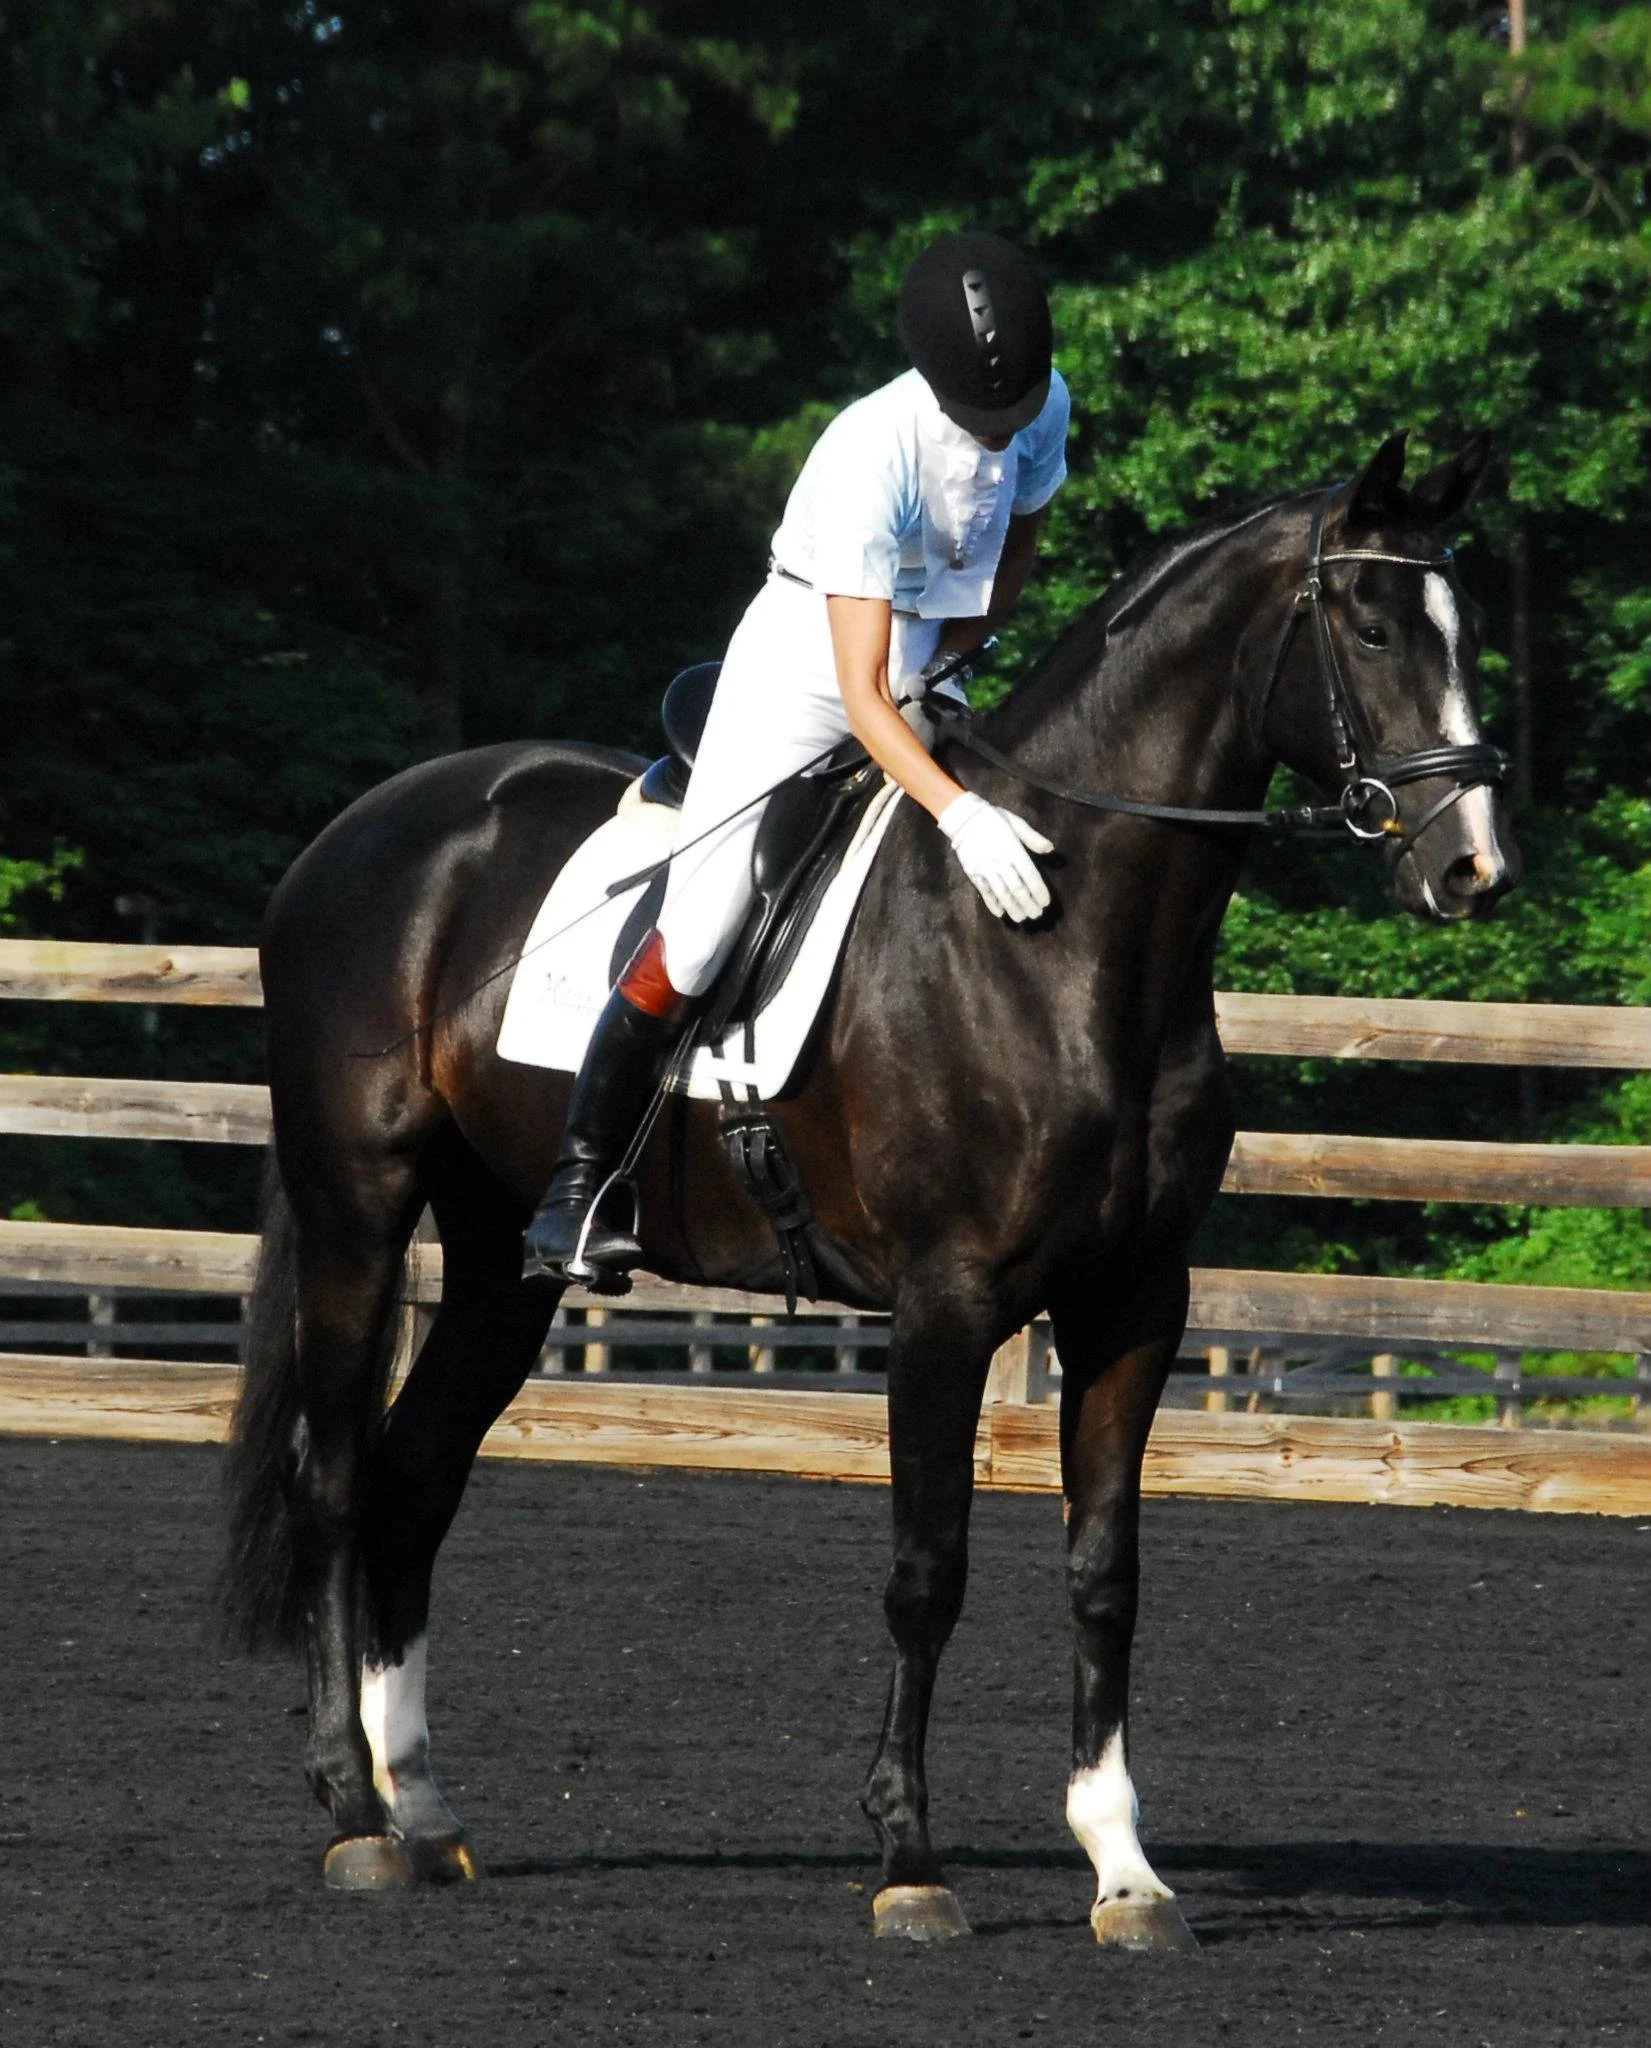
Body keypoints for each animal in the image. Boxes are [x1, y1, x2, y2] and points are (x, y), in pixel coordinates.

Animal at [220, 429, 1519, 1947]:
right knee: (333, 1475)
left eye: (1465, 628)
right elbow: (925, 1568)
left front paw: (1122, 1867)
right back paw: (353, 1815)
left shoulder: (1134, 1300)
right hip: (359, 1210)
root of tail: (359, 832)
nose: (1471, 865)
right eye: (1368, 626)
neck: (1061, 941)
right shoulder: (945, 1302)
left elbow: (1104, 1573)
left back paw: (421, 1805)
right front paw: (908, 1860)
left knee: (414, 1477)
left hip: (500, 1257)